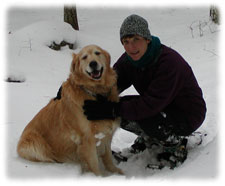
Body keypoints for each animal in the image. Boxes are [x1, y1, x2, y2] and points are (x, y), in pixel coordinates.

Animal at [17, 45, 123, 176]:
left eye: (97, 53)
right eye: (84, 57)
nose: (93, 63)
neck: (96, 94)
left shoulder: (106, 135)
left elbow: (108, 158)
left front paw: (116, 172)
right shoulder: (87, 139)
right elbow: (94, 164)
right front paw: (99, 177)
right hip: (35, 144)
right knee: (48, 157)